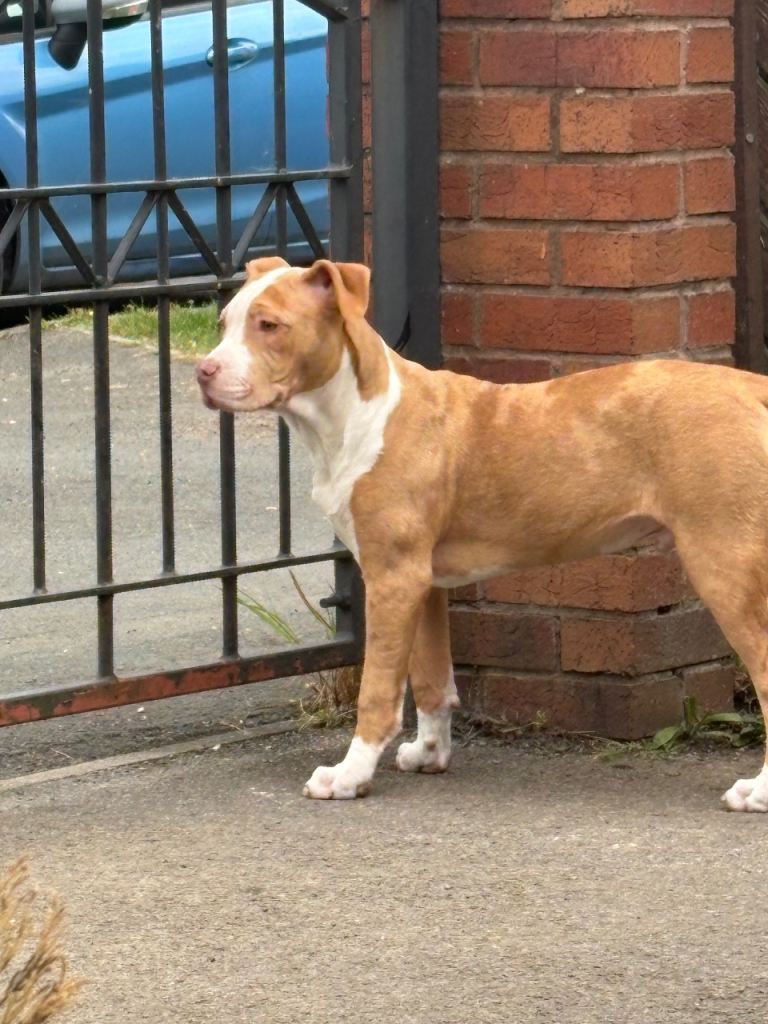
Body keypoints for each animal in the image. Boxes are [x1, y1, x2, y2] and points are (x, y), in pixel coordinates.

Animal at [197, 256, 768, 811]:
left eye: (269, 325)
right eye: (224, 324)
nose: (204, 371)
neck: (354, 415)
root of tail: (750, 386)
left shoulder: (391, 578)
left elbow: (378, 691)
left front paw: (348, 777)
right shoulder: (421, 582)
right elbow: (431, 680)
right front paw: (429, 753)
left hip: (725, 565)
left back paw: (757, 792)